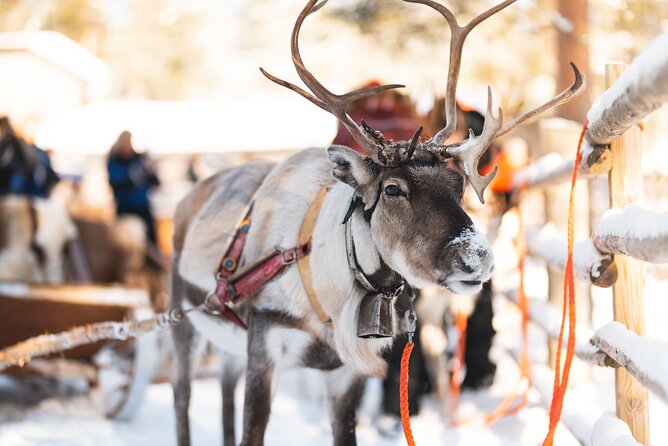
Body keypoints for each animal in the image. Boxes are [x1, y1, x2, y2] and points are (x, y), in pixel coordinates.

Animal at [170, 1, 584, 445]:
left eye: (458, 185)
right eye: (392, 189)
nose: (477, 258)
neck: (326, 294)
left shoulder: (345, 370)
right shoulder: (264, 352)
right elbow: (252, 432)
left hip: (229, 350)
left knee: (224, 397)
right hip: (184, 323)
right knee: (182, 399)